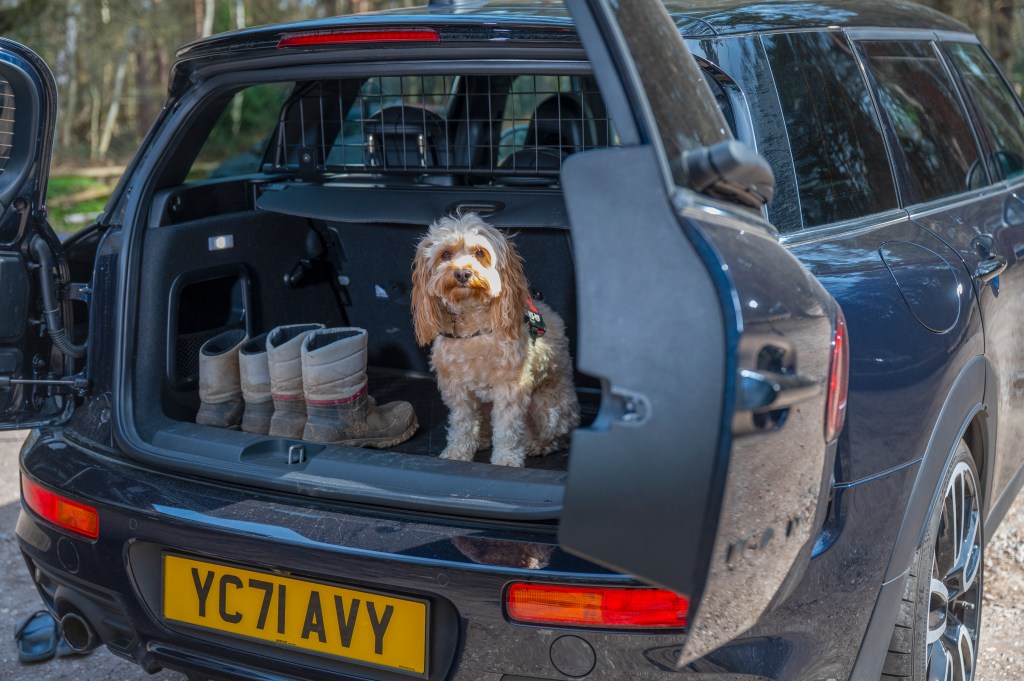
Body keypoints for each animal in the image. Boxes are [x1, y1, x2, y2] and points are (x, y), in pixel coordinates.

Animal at [411, 215, 581, 464]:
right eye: (445, 254)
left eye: (480, 252)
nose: (463, 273)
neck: (474, 328)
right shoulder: (456, 388)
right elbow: (462, 423)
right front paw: (458, 452)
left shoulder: (511, 386)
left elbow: (507, 428)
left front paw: (506, 460)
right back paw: (482, 440)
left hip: (547, 406)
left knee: (556, 434)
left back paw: (539, 444)